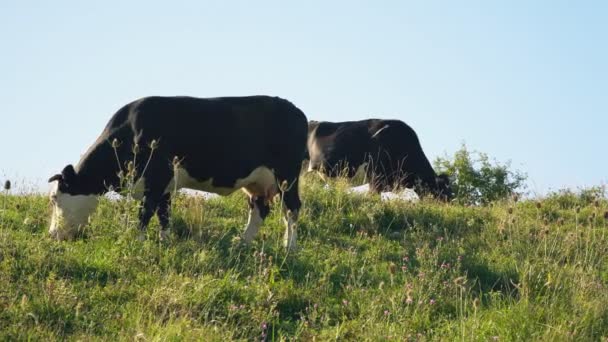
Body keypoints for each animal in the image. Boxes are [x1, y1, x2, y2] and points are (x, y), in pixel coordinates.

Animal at [48, 95, 308, 250]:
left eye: (54, 198)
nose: (51, 235)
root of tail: (296, 110)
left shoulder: (156, 178)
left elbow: (145, 213)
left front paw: (138, 241)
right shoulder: (164, 186)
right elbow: (164, 215)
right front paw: (164, 241)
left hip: (287, 176)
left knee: (292, 209)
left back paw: (289, 247)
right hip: (257, 182)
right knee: (260, 209)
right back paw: (241, 243)